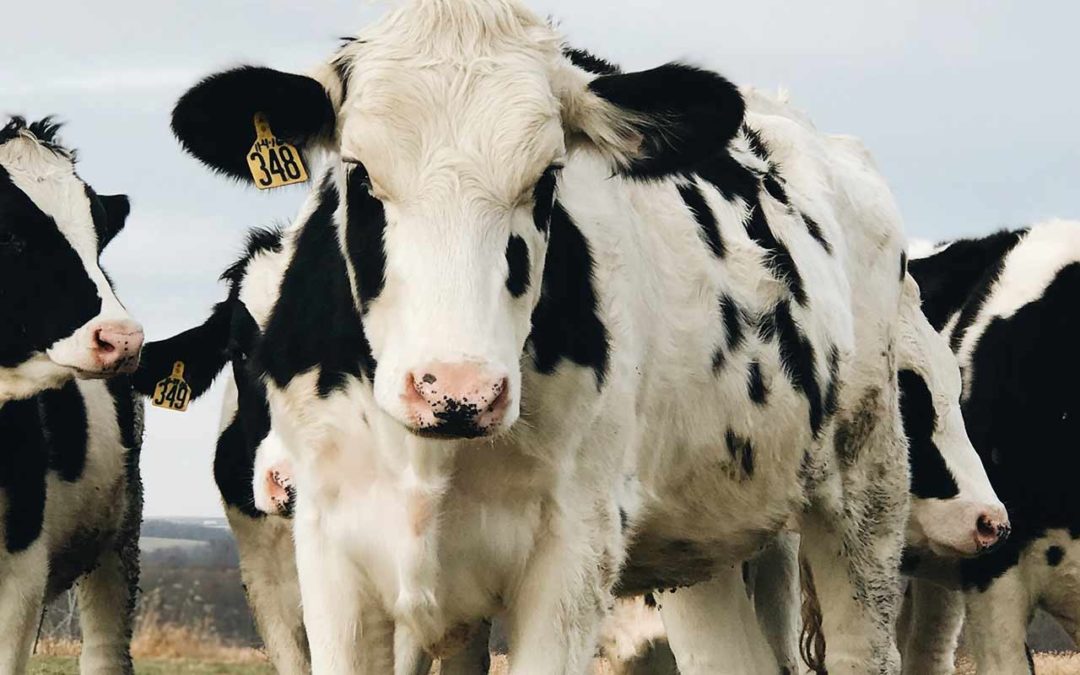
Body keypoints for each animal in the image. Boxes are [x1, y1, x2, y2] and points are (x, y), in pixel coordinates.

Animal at [168, 2, 911, 669]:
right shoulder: (329, 554)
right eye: (358, 173)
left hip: (868, 484)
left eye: (547, 178)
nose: (457, 391)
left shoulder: (573, 553)